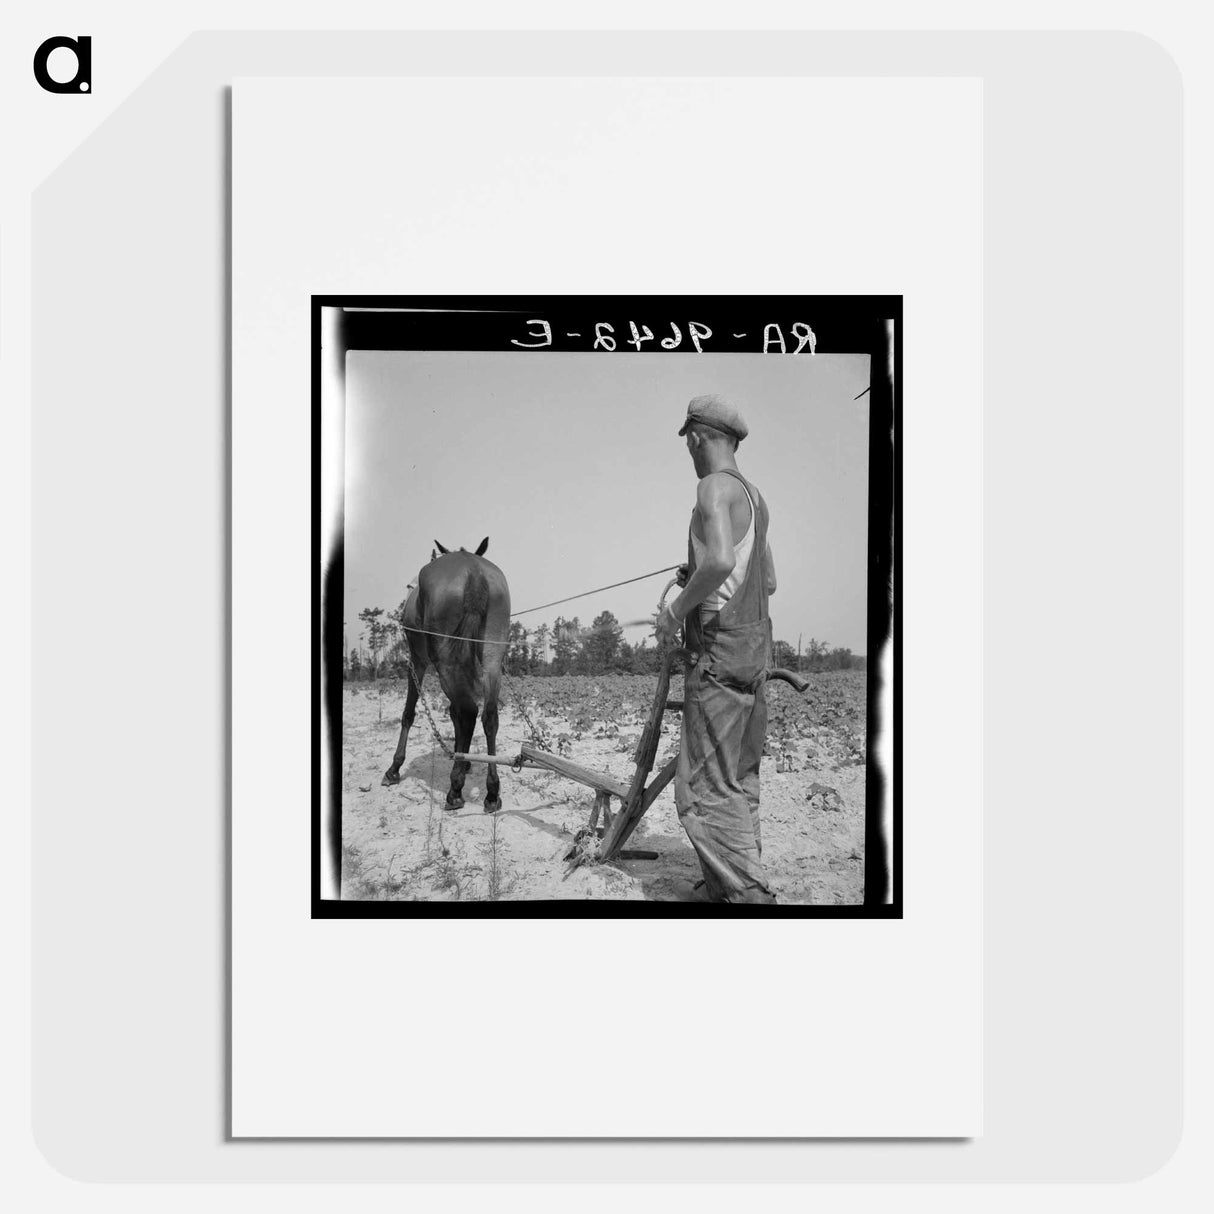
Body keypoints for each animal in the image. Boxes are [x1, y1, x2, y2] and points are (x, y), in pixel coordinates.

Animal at [381, 536, 509, 810]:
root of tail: (473, 569)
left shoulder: (416, 662)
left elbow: (409, 712)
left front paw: (394, 768)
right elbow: (454, 715)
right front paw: (465, 759)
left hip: (445, 662)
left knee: (469, 712)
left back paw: (455, 788)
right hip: (492, 656)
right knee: (488, 716)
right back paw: (492, 791)